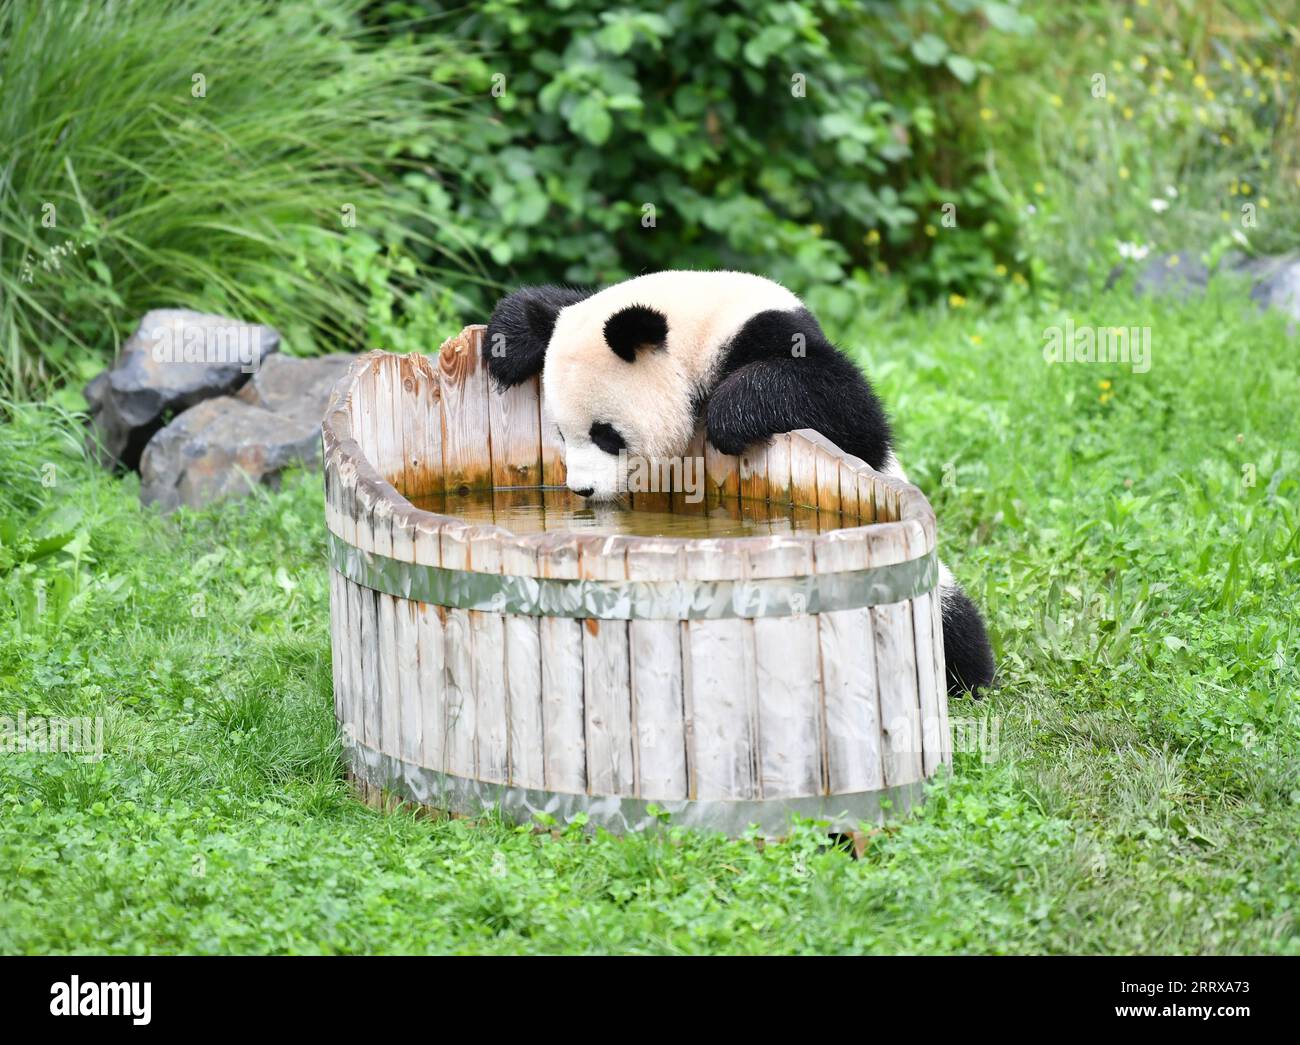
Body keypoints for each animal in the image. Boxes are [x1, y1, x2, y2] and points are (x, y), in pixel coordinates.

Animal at [483, 269, 995, 694]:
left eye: (606, 434)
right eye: (560, 434)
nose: (583, 491)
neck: (701, 328)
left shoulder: (774, 335)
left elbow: (851, 410)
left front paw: (731, 415)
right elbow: (551, 303)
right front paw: (507, 341)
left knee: (953, 626)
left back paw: (968, 673)